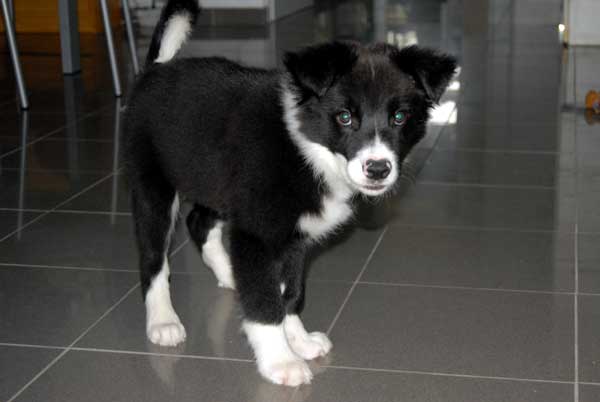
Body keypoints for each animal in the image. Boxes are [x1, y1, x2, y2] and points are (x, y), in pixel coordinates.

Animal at [124, 0, 458, 388]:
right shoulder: (256, 234)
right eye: (344, 117)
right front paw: (279, 360)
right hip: (153, 187)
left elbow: (291, 293)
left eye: (400, 117)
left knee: (199, 221)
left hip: (215, 181)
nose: (378, 169)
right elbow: (266, 303)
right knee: (153, 258)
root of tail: (155, 69)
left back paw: (229, 275)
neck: (308, 149)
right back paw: (163, 319)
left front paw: (298, 339)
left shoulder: (294, 236)